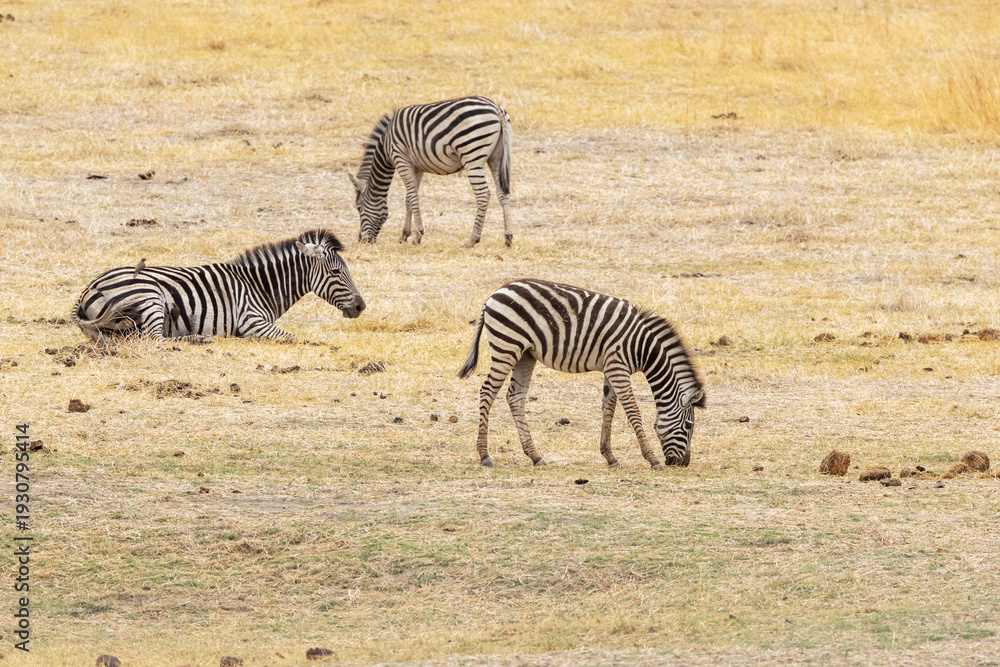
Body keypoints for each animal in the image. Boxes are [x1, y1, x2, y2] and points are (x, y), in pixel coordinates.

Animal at [72, 229, 365, 345]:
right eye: (336, 272)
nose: (362, 306)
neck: (259, 286)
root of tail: (88, 288)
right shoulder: (251, 321)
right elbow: (294, 337)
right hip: (149, 296)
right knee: (153, 340)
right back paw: (199, 339)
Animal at [349, 96, 513, 247]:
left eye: (359, 208)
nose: (362, 240)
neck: (386, 144)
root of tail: (496, 107)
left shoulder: (401, 160)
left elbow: (413, 197)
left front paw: (418, 236)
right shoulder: (416, 167)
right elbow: (408, 199)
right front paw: (404, 235)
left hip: (472, 155)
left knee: (483, 195)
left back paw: (472, 240)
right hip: (496, 157)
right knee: (502, 193)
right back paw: (508, 238)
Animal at [459, 279, 705, 470]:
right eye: (689, 426)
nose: (683, 464)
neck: (643, 347)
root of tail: (495, 294)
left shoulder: (611, 367)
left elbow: (608, 408)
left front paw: (610, 457)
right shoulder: (618, 366)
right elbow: (632, 411)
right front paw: (652, 459)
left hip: (526, 354)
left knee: (515, 397)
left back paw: (535, 456)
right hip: (507, 346)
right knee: (487, 391)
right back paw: (485, 455)